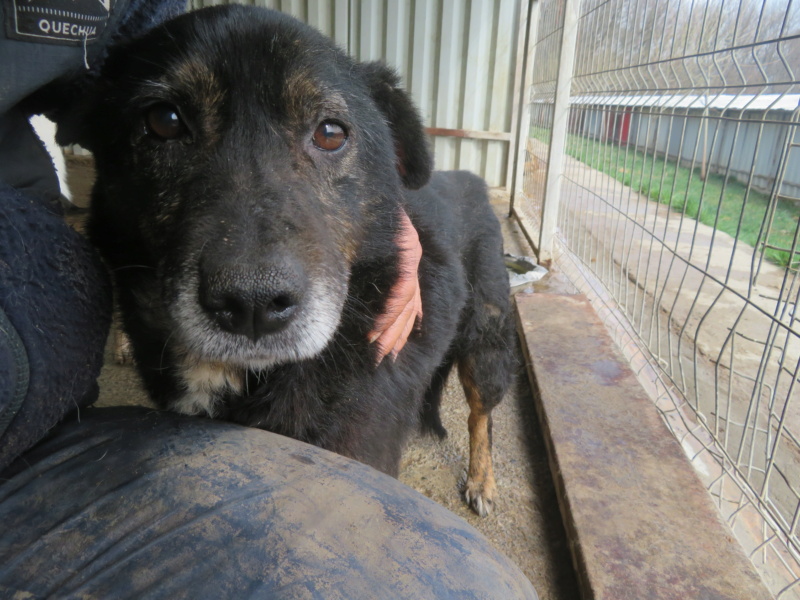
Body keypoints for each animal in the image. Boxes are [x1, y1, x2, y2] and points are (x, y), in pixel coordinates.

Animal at [59, 4, 516, 516]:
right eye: (164, 121)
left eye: (331, 132)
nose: (252, 304)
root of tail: (474, 180)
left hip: (486, 341)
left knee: (482, 415)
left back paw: (482, 481)